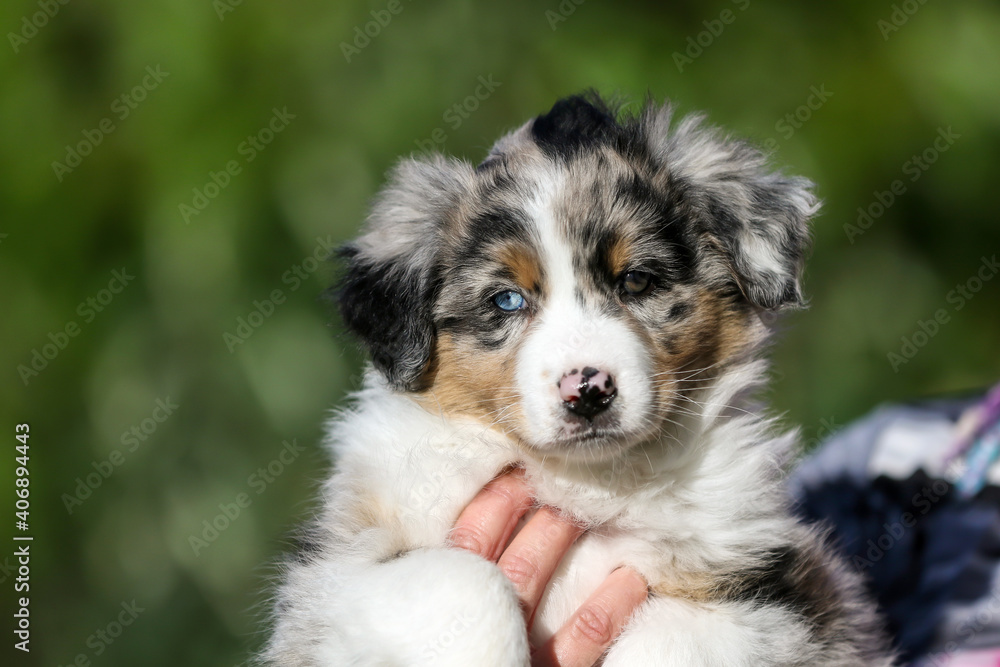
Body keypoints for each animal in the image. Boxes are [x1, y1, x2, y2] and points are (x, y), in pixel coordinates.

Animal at [264, 91, 892, 664]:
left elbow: (670, 634)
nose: (588, 391)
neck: (589, 482)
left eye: (636, 280)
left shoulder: (770, 599)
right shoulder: (334, 575)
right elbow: (467, 581)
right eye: (507, 299)